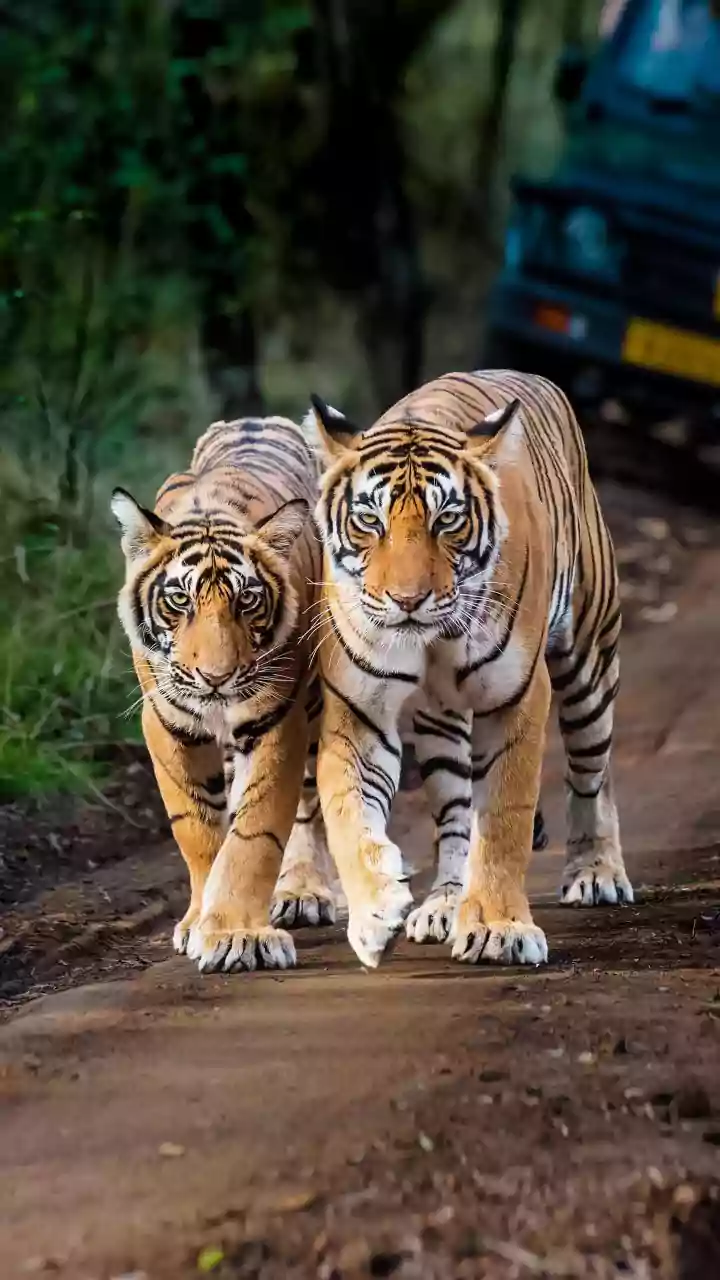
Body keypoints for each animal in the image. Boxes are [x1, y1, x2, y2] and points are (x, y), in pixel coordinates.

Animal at [112, 416, 335, 974]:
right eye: (179, 600)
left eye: (247, 600)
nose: (215, 676)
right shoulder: (167, 723)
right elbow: (197, 827)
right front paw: (201, 923)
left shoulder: (278, 718)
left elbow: (256, 831)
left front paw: (238, 934)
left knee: (306, 802)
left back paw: (302, 892)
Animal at [308, 371, 632, 969]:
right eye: (369, 521)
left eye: (448, 521)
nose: (407, 601)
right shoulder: (359, 712)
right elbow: (347, 813)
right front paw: (375, 914)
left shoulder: (517, 698)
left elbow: (503, 818)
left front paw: (498, 929)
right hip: (441, 722)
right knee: (457, 814)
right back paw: (444, 904)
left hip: (589, 660)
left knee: (591, 774)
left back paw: (596, 872)